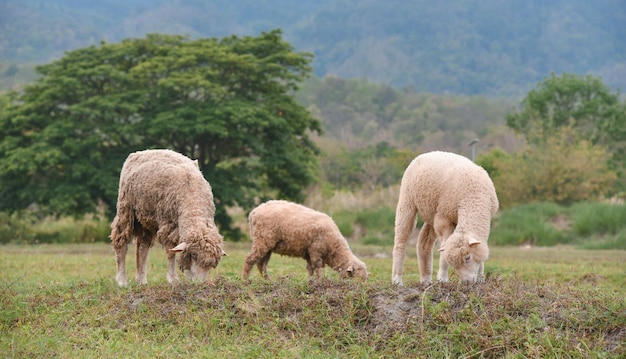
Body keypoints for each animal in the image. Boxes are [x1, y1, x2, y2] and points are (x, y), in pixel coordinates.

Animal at [110, 148, 227, 286]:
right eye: (193, 255)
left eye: (211, 266)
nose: (200, 283)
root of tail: (142, 152)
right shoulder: (168, 224)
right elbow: (171, 252)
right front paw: (173, 280)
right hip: (126, 208)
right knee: (121, 243)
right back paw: (122, 280)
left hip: (146, 217)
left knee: (143, 247)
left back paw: (141, 280)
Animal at [390, 150, 498, 286]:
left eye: (467, 257)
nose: (467, 283)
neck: (473, 196)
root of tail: (426, 154)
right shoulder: (444, 218)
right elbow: (444, 250)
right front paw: (442, 278)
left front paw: (480, 278)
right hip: (407, 200)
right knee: (401, 240)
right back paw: (397, 280)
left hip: (431, 213)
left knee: (424, 243)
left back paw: (426, 279)